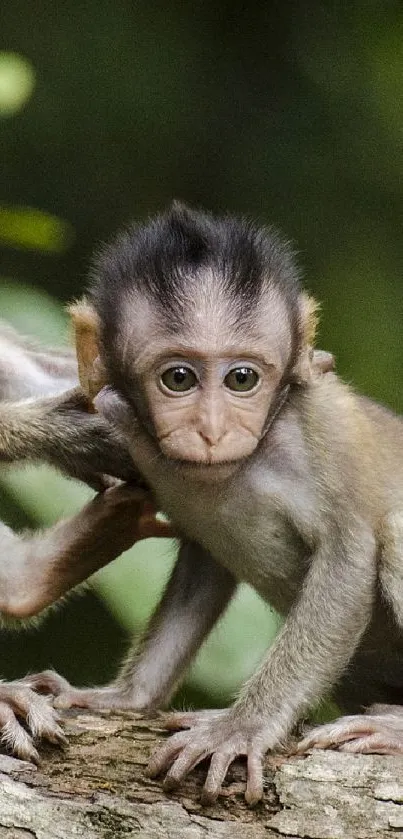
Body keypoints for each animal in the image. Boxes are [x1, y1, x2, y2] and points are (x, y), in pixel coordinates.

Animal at [35, 205, 403, 808]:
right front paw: (122, 697)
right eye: (178, 378)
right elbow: (202, 565)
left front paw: (239, 728)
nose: (212, 431)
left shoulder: (325, 432)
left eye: (242, 378)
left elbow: (348, 560)